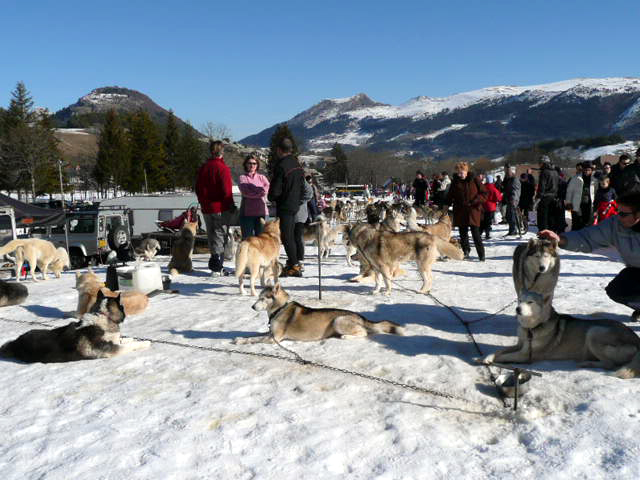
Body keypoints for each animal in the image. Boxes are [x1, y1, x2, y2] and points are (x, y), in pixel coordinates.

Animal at [0, 288, 151, 364]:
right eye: (123, 307)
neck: (103, 315)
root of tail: (15, 343)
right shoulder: (110, 350)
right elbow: (129, 345)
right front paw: (144, 343)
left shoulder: (114, 340)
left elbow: (124, 340)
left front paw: (132, 339)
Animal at [235, 284, 404, 344]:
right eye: (258, 297)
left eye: (263, 298)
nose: (252, 306)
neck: (279, 308)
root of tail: (360, 316)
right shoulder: (271, 333)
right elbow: (253, 335)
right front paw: (240, 337)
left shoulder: (274, 338)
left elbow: (255, 339)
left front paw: (240, 341)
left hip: (338, 320)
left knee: (363, 333)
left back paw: (345, 336)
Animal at [482, 288, 640, 378]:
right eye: (520, 301)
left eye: (530, 302)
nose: (517, 309)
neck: (531, 328)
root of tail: (635, 338)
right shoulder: (520, 345)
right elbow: (500, 350)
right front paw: (488, 357)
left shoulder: (526, 355)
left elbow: (504, 356)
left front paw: (491, 360)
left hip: (594, 331)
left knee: (609, 364)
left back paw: (587, 363)